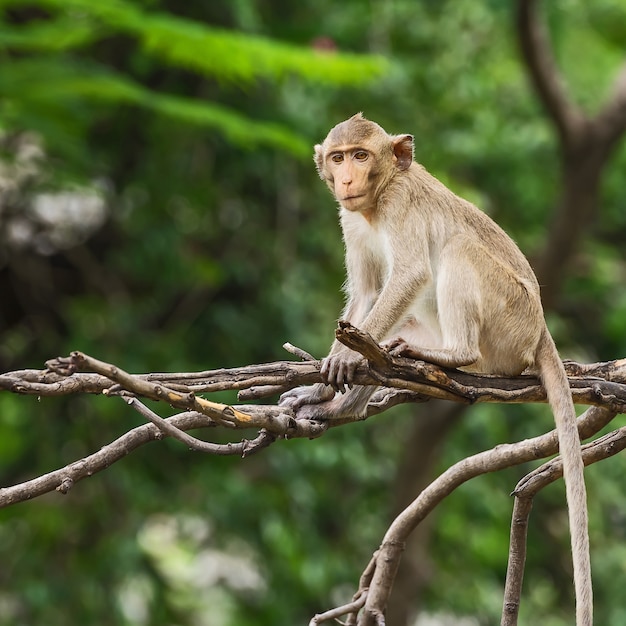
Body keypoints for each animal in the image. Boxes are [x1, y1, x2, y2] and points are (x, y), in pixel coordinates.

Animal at [280, 113, 592, 624]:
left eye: (361, 156)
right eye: (338, 157)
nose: (346, 180)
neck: (378, 199)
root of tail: (541, 328)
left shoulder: (401, 207)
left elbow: (408, 276)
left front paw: (343, 360)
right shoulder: (351, 220)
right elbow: (367, 296)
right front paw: (321, 391)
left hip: (509, 322)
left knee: (458, 249)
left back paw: (452, 356)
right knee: (388, 338)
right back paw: (344, 407)